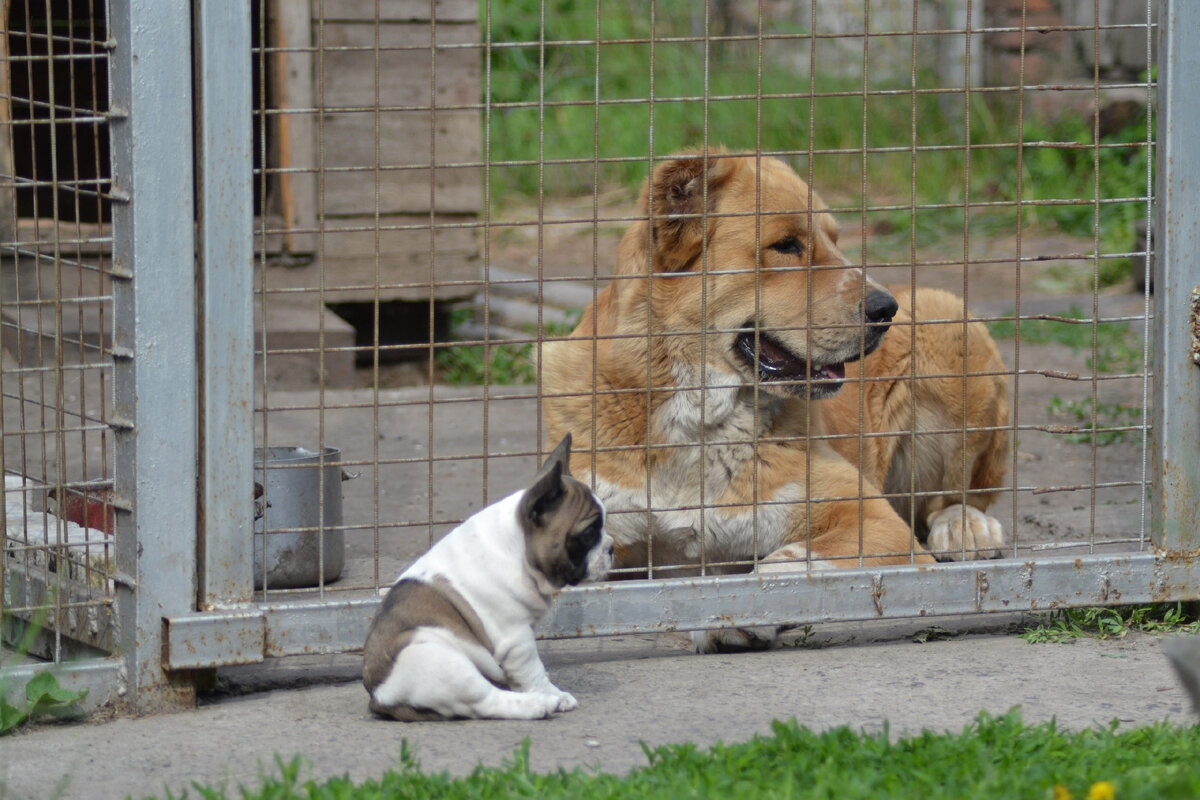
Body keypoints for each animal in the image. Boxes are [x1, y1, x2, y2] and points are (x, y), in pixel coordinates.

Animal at [360, 434, 614, 724]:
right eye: (588, 534)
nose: (611, 548)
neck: (517, 548)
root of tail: (380, 696)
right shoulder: (517, 640)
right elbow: (534, 671)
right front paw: (554, 693)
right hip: (443, 659)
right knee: (488, 701)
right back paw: (539, 704)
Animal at [544, 151, 1012, 652]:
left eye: (834, 241)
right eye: (786, 245)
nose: (886, 310)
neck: (699, 420)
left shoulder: (871, 520)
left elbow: (789, 565)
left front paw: (733, 612)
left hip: (947, 321)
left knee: (958, 496)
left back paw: (965, 527)